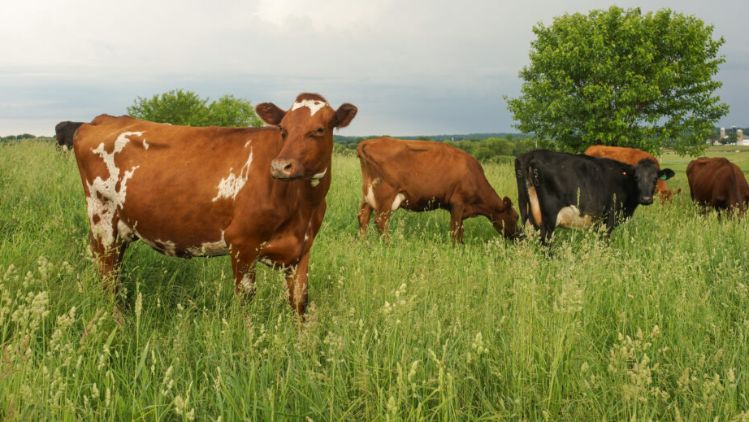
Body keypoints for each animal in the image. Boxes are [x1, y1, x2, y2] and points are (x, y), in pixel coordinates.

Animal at [72, 93, 357, 317]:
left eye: (319, 130)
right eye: (283, 129)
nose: (280, 166)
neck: (302, 205)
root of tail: (104, 119)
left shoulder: (303, 248)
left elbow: (300, 302)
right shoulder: (242, 243)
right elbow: (246, 303)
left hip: (121, 231)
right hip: (103, 223)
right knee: (108, 277)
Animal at [356, 137, 519, 242]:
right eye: (516, 217)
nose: (520, 236)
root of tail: (370, 141)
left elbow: (460, 230)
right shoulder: (458, 203)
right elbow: (455, 230)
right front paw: (456, 248)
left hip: (368, 196)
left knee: (363, 217)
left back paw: (363, 243)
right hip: (385, 196)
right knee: (380, 221)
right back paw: (389, 244)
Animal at [515, 150, 674, 243]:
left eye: (655, 178)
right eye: (636, 177)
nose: (646, 199)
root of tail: (530, 154)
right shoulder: (609, 219)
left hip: (529, 211)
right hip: (549, 214)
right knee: (545, 240)